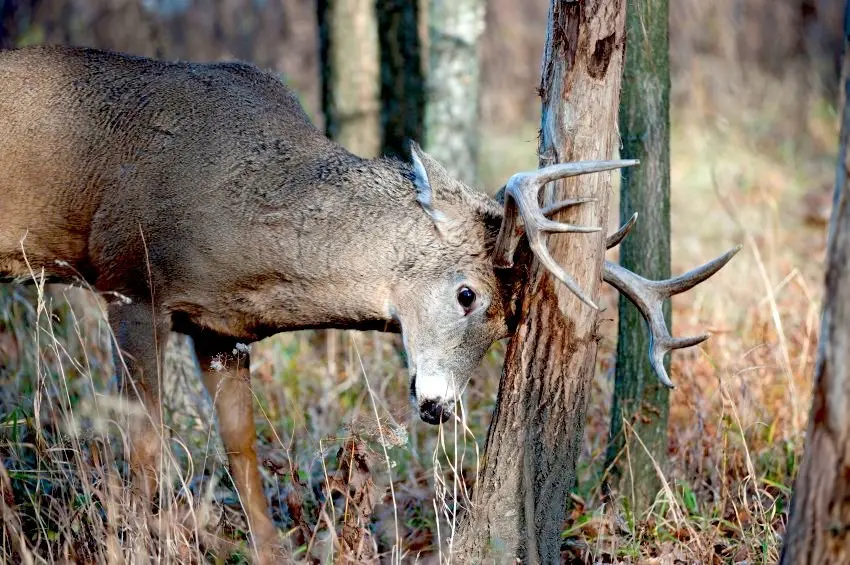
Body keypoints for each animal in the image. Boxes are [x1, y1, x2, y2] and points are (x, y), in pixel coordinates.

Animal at [0, 45, 740, 560]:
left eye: (509, 325)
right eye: (466, 293)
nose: (440, 406)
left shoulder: (220, 329)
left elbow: (243, 453)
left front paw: (272, 554)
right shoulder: (128, 282)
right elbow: (146, 445)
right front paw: (135, 542)